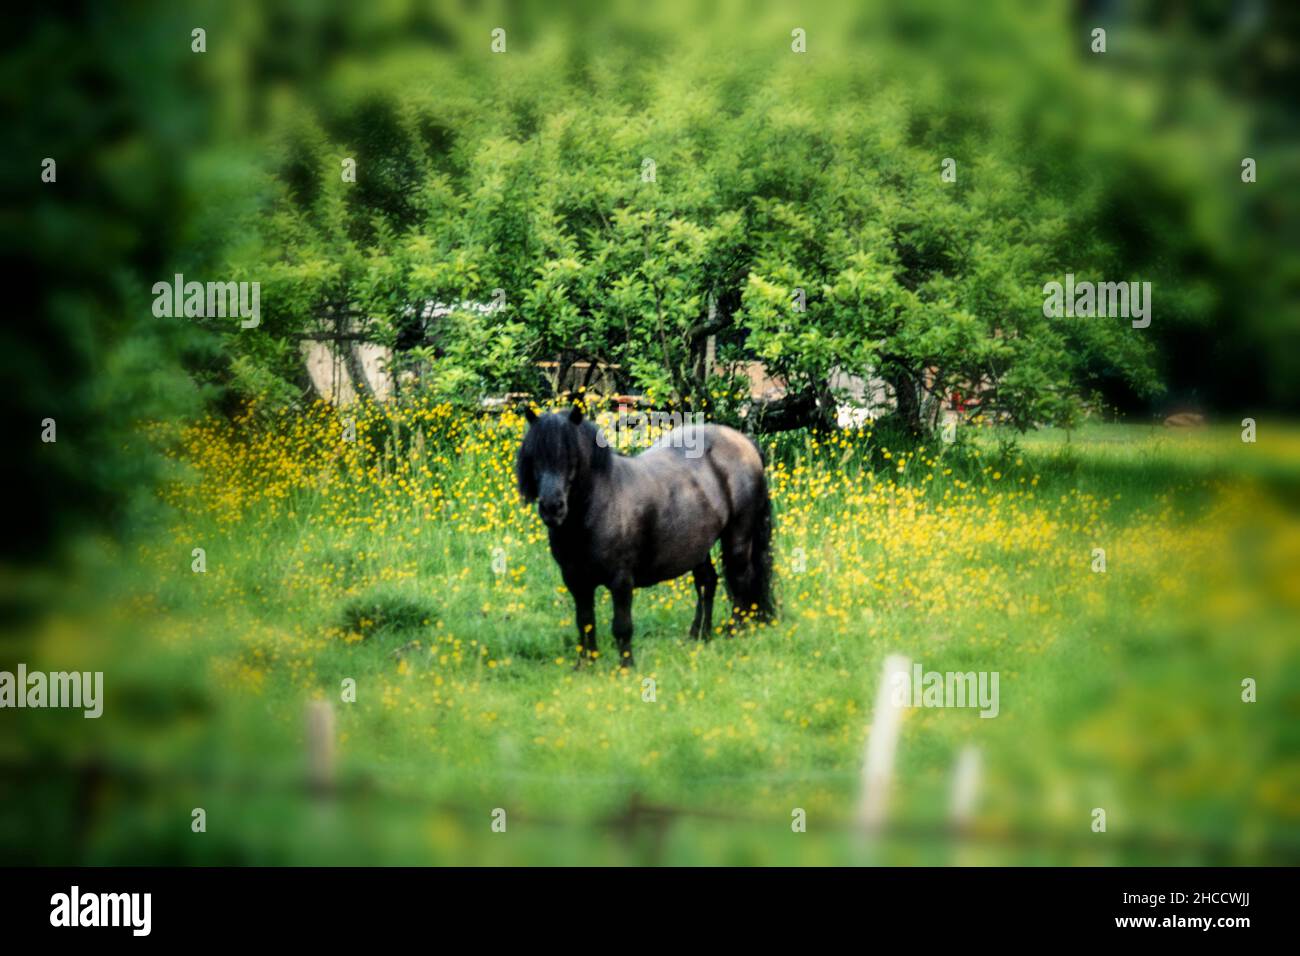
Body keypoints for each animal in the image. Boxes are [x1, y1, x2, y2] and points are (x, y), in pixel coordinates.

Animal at [512, 408, 769, 671]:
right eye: (535, 457)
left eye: (572, 457)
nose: (552, 508)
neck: (599, 505)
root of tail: (744, 440)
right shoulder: (576, 581)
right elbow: (584, 621)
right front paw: (586, 663)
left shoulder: (621, 580)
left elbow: (621, 626)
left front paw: (626, 666)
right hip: (699, 546)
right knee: (707, 582)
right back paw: (699, 635)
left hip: (738, 537)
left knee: (740, 578)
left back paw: (734, 631)